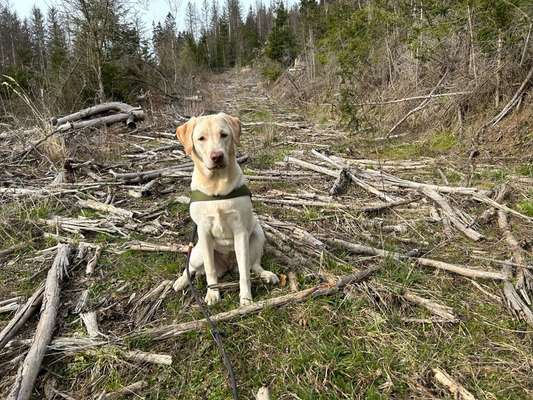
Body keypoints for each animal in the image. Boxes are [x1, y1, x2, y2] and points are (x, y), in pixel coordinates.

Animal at [172, 112, 278, 306]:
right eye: (201, 138)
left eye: (224, 135)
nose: (217, 156)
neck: (217, 186)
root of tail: (227, 266)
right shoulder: (204, 233)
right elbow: (210, 270)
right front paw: (213, 293)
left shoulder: (240, 232)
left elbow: (244, 273)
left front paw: (246, 298)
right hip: (198, 251)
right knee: (190, 267)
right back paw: (182, 281)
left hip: (258, 235)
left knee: (253, 265)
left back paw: (266, 275)